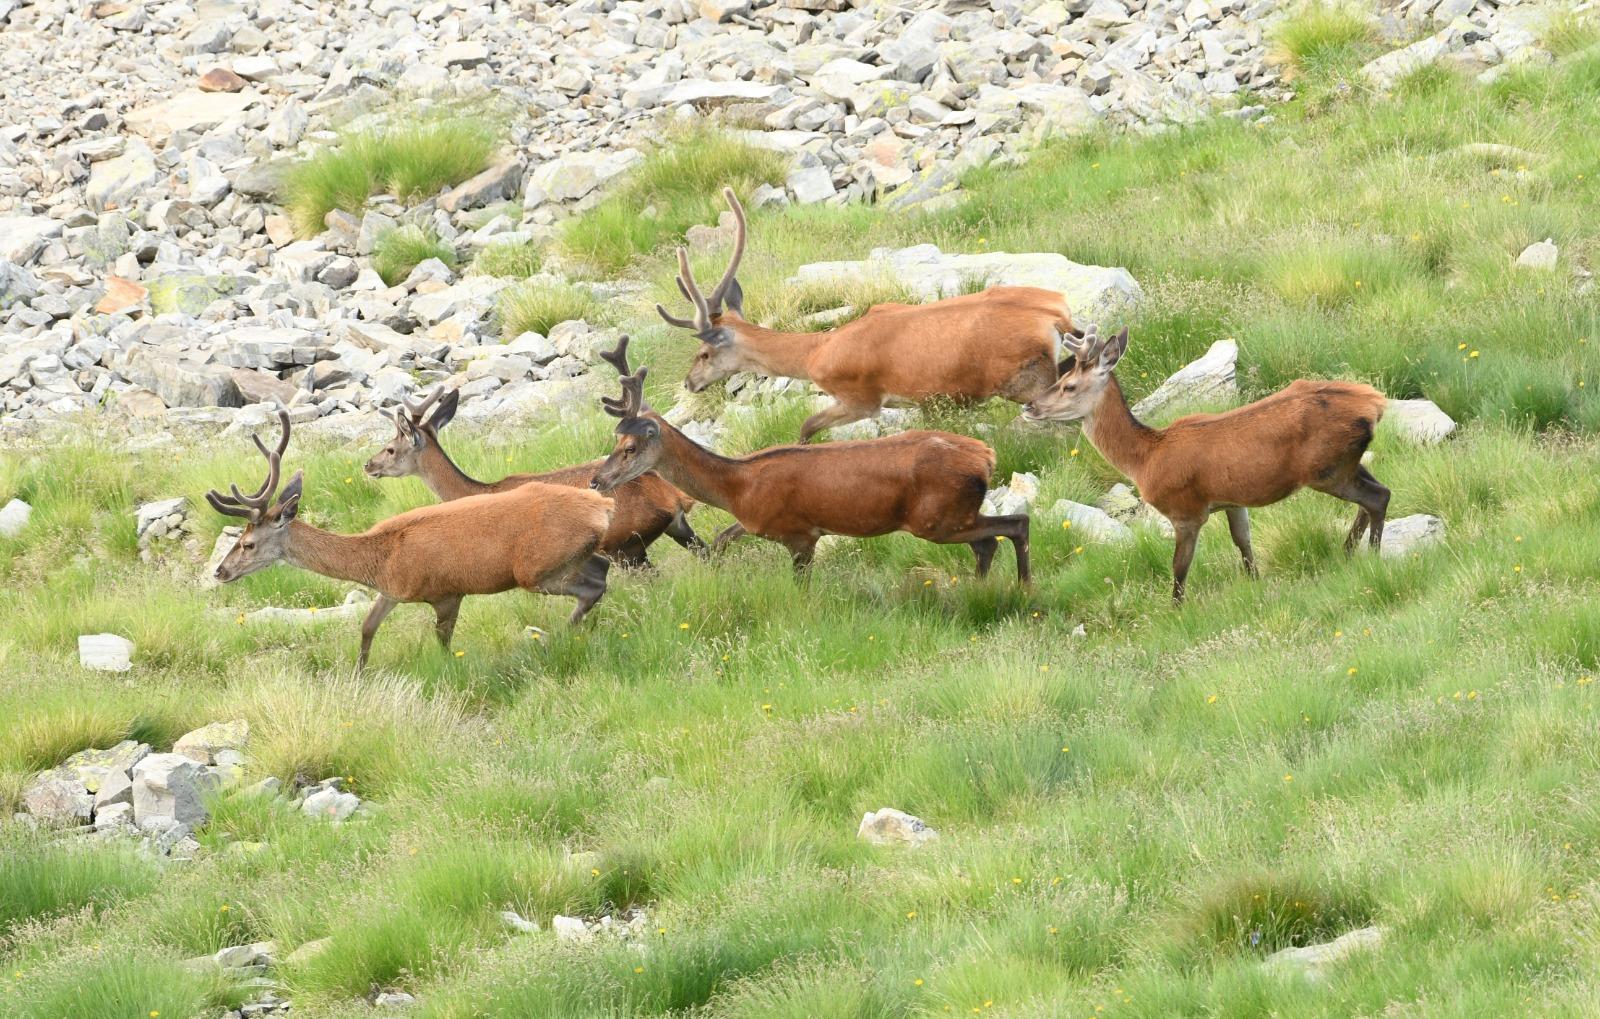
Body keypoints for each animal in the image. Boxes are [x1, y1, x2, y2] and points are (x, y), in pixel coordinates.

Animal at [208, 404, 617, 668]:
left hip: (535, 570)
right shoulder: (391, 592)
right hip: (573, 556)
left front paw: (447, 669)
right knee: (600, 570)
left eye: (247, 543)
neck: (380, 560)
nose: (220, 571)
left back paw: (559, 638)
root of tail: (603, 503)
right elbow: (367, 628)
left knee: (592, 587)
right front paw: (359, 674)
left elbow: (443, 641)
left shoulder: (446, 591)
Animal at [368, 379, 707, 569]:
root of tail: (674, 497)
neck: (479, 492)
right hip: (677, 529)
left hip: (625, 546)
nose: (368, 465)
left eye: (390, 448)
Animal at [585, 335, 1024, 579]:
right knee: (990, 542)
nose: (596, 480)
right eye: (613, 440)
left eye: (629, 448)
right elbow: (722, 538)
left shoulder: (798, 533)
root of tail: (986, 456)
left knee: (1014, 525)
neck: (739, 487)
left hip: (936, 517)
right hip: (951, 514)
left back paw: (1021, 586)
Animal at [656, 187, 1081, 441]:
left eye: (703, 353)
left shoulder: (861, 397)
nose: (689, 383)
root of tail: (1054, 312)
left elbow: (806, 427)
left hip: (1024, 379)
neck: (814, 353)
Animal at [1024, 323, 1388, 604]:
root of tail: (1375, 404)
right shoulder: (1232, 500)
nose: (1029, 406)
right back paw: (1346, 553)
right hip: (1347, 461)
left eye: (1068, 385)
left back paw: (1372, 556)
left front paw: (1175, 610)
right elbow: (1244, 546)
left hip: (1327, 469)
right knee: (1371, 497)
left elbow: (1179, 568)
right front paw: (1256, 584)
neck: (1144, 459)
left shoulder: (1186, 510)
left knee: (1378, 497)